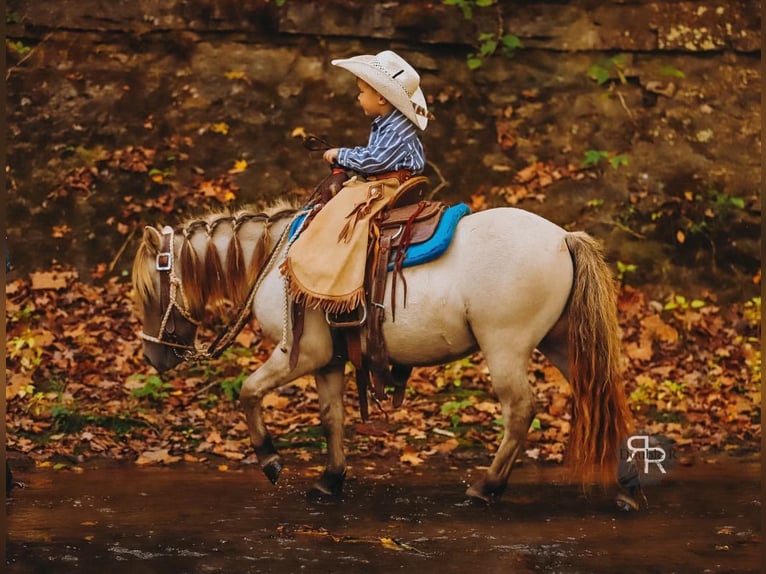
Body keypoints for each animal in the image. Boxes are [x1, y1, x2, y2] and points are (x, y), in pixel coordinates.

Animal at [131, 201, 640, 507]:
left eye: (148, 289)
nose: (155, 358)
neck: (276, 260)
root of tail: (563, 237)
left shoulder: (299, 353)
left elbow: (249, 392)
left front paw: (271, 460)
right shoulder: (329, 361)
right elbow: (331, 418)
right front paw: (331, 478)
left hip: (506, 346)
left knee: (520, 410)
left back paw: (487, 486)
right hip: (561, 341)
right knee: (601, 394)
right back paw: (626, 483)